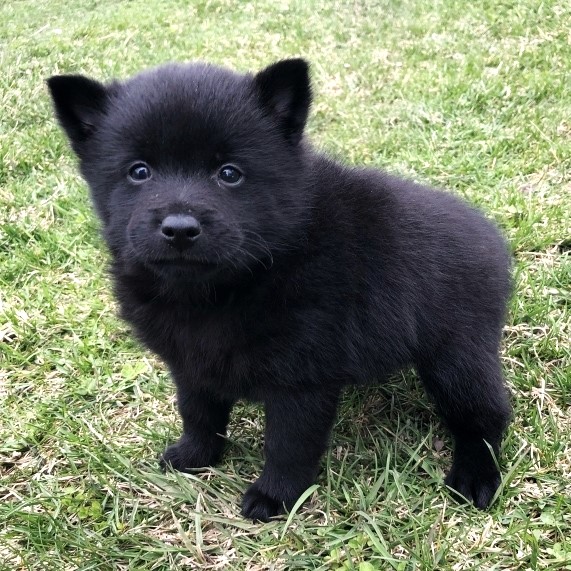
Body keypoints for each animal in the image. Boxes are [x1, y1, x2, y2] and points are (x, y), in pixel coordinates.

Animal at [48, 58, 512, 524]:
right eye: (139, 171)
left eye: (229, 174)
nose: (179, 229)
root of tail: (492, 239)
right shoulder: (191, 365)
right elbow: (198, 414)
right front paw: (195, 456)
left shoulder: (300, 382)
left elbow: (288, 445)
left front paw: (275, 496)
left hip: (458, 362)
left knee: (487, 417)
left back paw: (475, 474)